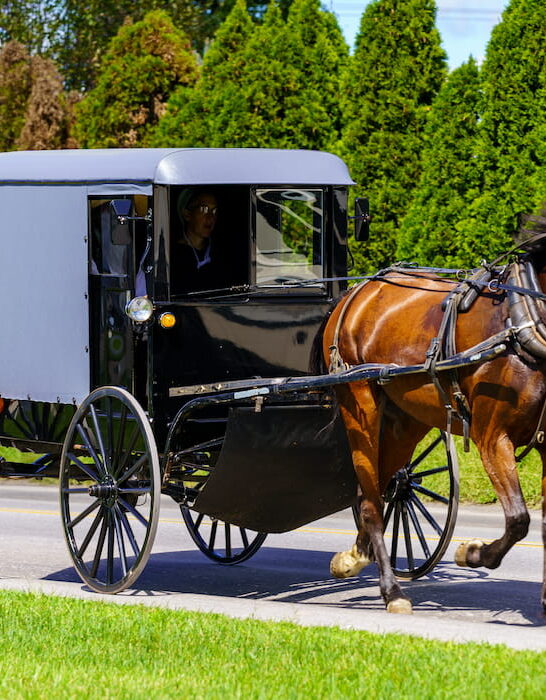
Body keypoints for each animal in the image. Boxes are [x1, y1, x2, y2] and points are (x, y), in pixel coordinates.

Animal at [320, 239, 544, 612]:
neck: (522, 320)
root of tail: (357, 291)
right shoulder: (492, 437)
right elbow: (518, 520)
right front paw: (472, 552)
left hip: (406, 420)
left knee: (379, 488)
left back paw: (356, 556)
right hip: (359, 404)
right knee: (370, 503)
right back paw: (392, 591)